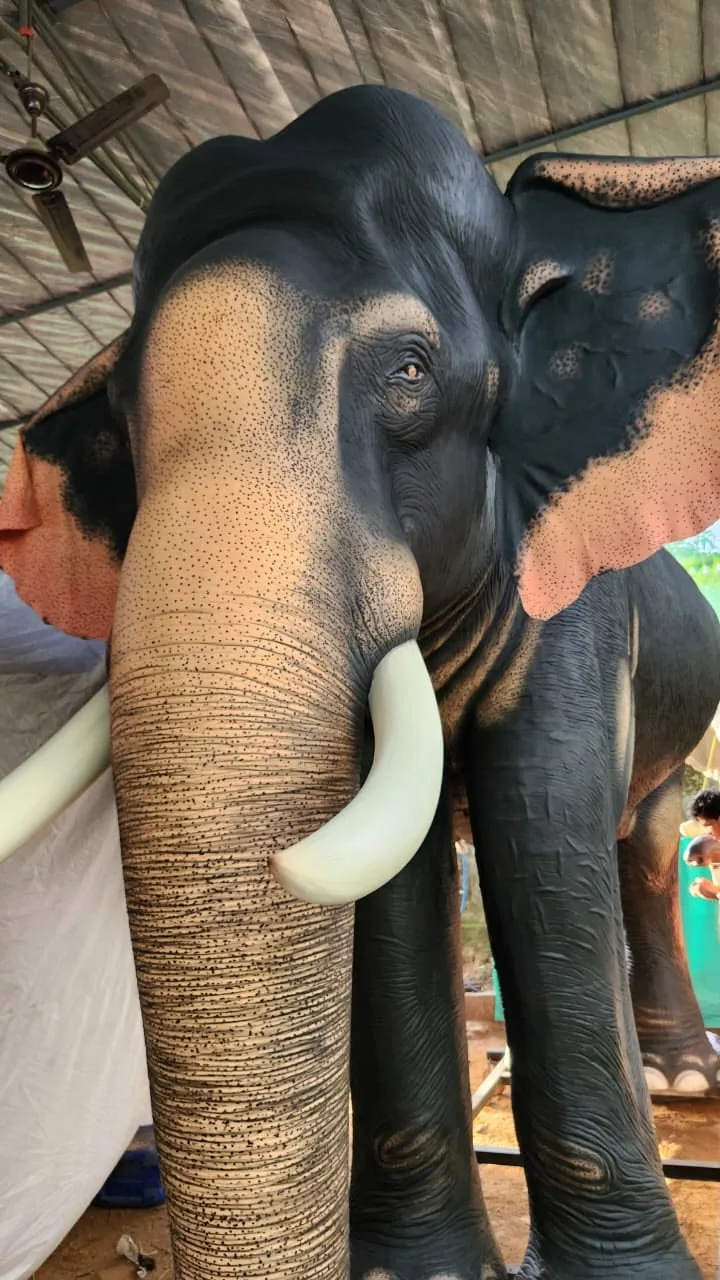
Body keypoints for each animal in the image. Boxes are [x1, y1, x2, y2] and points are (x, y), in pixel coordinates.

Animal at [2, 84, 720, 1280]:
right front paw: (414, 1270)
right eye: (118, 431)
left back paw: (679, 1079)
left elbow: (541, 829)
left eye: (410, 370)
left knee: (647, 842)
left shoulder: (572, 611)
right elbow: (397, 882)